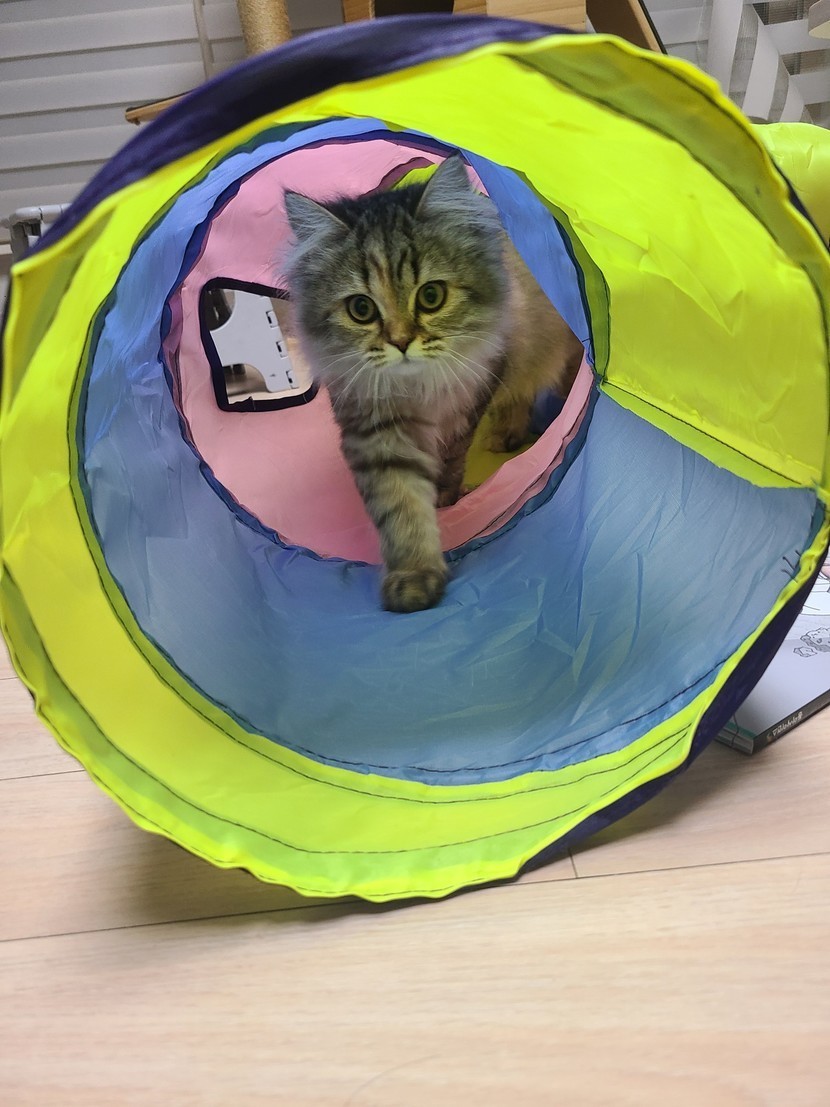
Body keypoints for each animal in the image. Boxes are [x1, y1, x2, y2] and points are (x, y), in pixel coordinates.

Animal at [283, 155, 583, 613]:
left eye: (430, 297)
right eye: (361, 309)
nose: (401, 342)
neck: (419, 389)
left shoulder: (473, 396)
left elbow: (451, 461)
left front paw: (447, 498)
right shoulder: (376, 431)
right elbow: (401, 506)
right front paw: (413, 580)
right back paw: (508, 435)